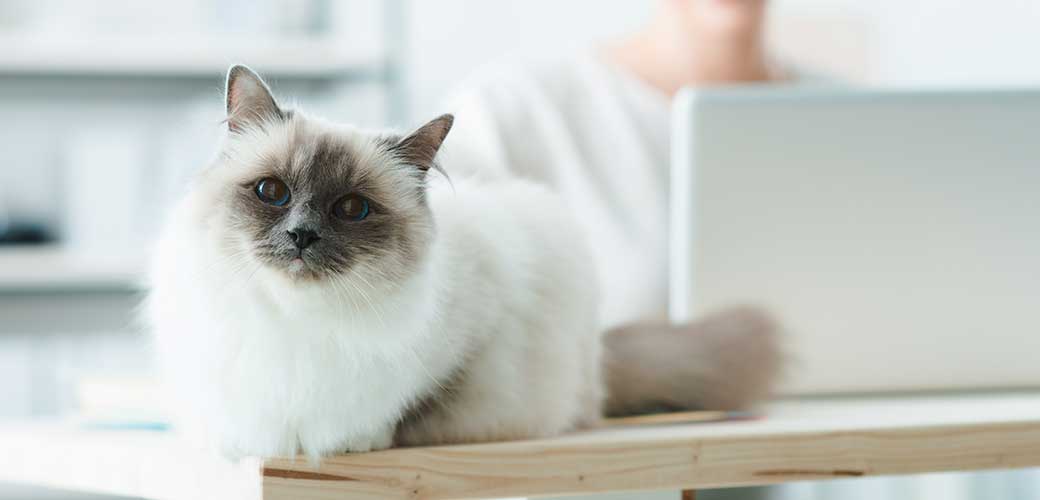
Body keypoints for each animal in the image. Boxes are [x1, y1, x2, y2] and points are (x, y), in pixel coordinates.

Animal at [146, 65, 782, 459]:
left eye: (351, 208)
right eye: (272, 193)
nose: (301, 236)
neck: (295, 323)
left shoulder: (466, 348)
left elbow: (395, 413)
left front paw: (347, 441)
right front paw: (249, 446)